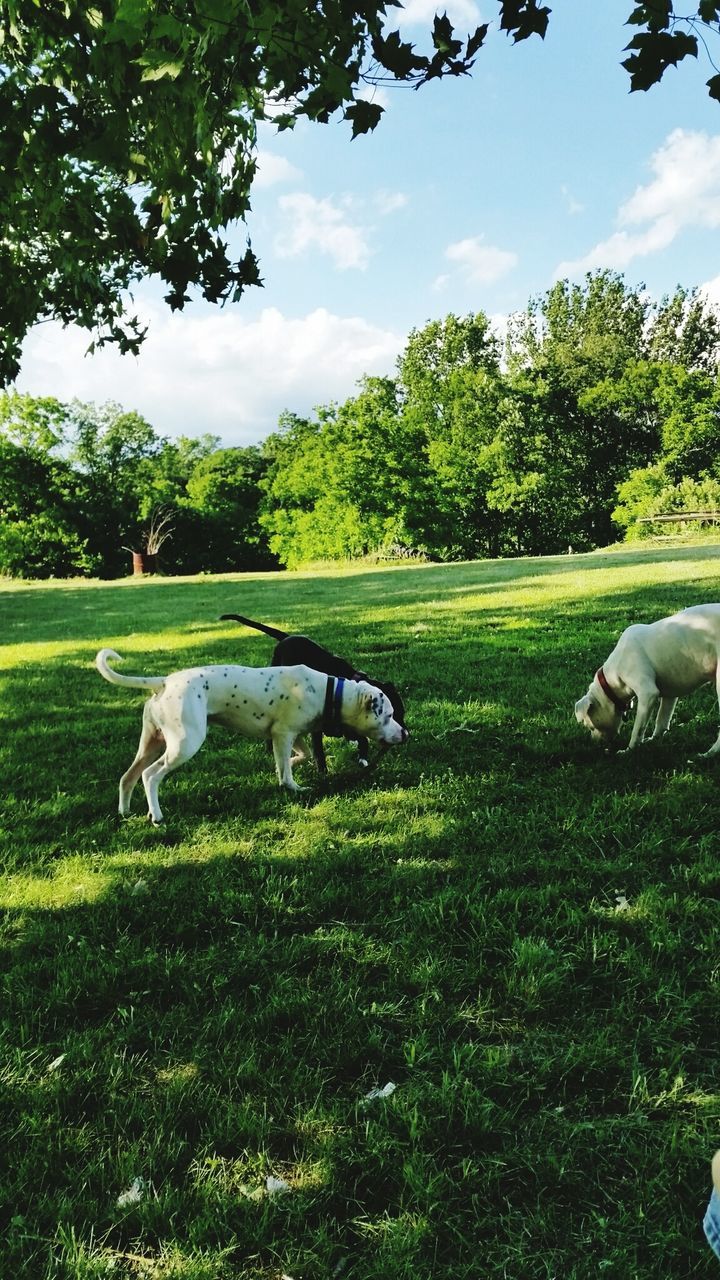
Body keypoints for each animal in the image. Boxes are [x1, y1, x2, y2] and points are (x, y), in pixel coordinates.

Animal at [96, 645, 404, 824]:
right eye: (389, 715)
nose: (405, 733)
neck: (330, 692)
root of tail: (164, 682)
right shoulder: (283, 734)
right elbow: (288, 772)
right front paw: (293, 787)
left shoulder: (291, 735)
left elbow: (297, 758)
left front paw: (286, 768)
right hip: (184, 745)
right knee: (150, 776)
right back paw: (157, 816)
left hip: (150, 743)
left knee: (128, 777)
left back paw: (125, 812)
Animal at [219, 611, 407, 768]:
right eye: (392, 715)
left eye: (402, 713)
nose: (406, 734)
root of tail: (287, 637)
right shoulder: (317, 729)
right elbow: (319, 753)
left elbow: (361, 739)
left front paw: (363, 758)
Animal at [573, 604, 717, 752]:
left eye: (590, 726)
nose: (594, 743)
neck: (612, 676)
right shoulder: (670, 695)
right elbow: (662, 720)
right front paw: (655, 739)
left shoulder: (648, 694)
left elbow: (638, 730)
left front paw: (629, 750)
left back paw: (710, 753)